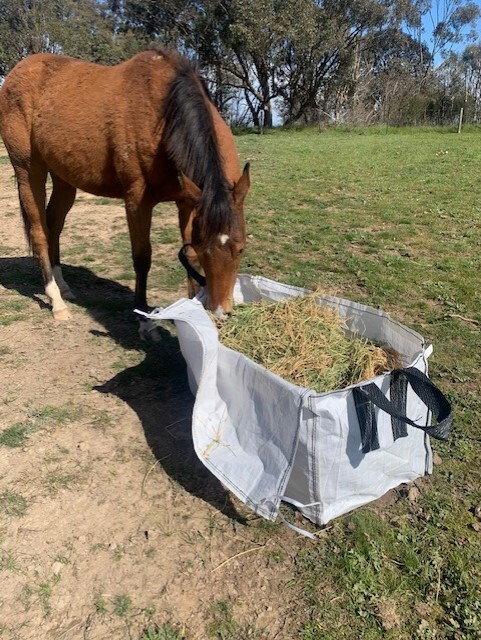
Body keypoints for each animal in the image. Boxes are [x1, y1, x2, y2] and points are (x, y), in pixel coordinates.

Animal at [0, 48, 249, 325]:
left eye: (240, 249)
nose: (220, 312)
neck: (164, 116)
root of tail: (18, 71)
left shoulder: (188, 201)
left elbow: (189, 256)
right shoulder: (137, 201)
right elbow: (142, 257)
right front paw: (142, 313)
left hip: (64, 178)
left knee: (54, 224)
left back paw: (63, 286)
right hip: (28, 170)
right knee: (40, 232)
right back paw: (57, 301)